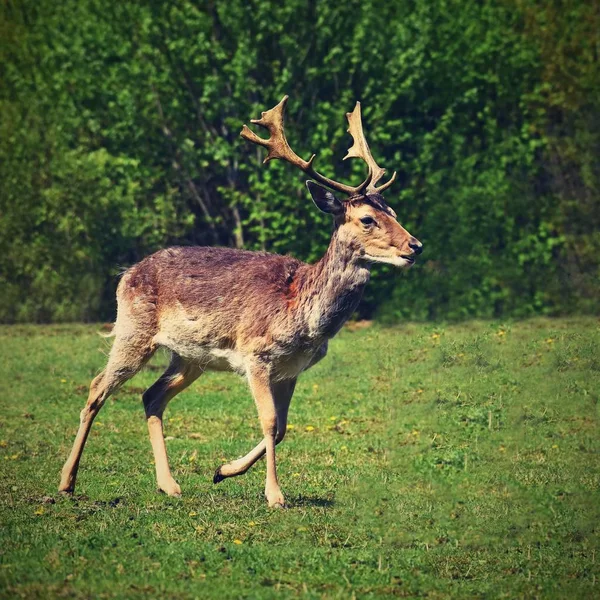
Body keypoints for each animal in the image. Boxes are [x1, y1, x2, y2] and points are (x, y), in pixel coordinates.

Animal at [57, 96, 422, 508]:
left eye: (393, 212)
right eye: (367, 219)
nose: (415, 246)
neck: (303, 316)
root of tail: (126, 273)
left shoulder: (292, 369)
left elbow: (282, 427)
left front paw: (223, 470)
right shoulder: (255, 354)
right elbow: (269, 421)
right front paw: (274, 494)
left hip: (189, 356)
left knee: (152, 396)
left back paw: (169, 484)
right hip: (133, 331)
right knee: (97, 388)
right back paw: (67, 482)